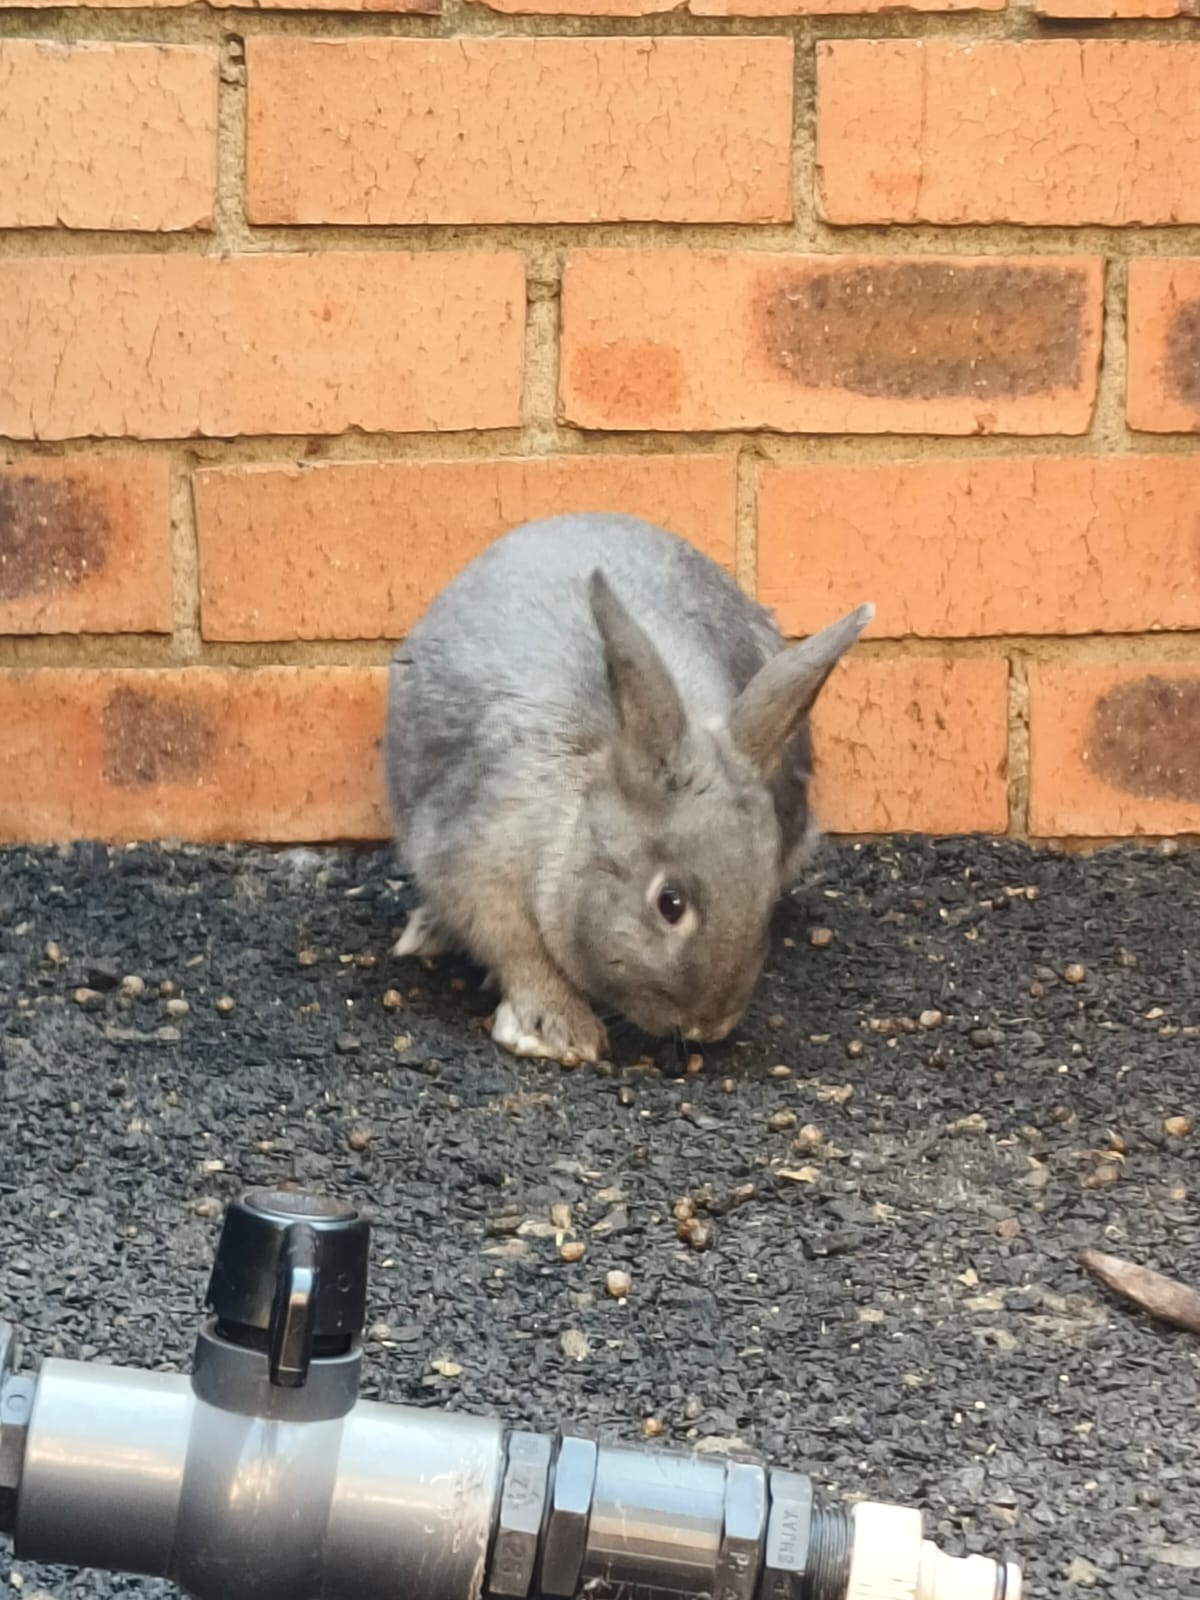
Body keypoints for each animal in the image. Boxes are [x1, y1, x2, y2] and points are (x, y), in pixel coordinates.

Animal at [384, 512, 872, 1066]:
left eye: (764, 897)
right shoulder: (475, 865)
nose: (711, 1026)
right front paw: (557, 1031)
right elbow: (521, 957)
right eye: (670, 903)